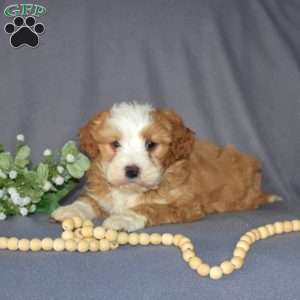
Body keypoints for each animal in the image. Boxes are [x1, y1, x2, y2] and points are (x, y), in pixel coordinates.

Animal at [51, 102, 276, 231]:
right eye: (115, 144)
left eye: (151, 145)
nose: (132, 170)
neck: (130, 192)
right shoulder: (101, 192)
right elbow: (88, 200)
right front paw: (70, 209)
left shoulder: (185, 204)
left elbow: (150, 207)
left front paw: (123, 218)